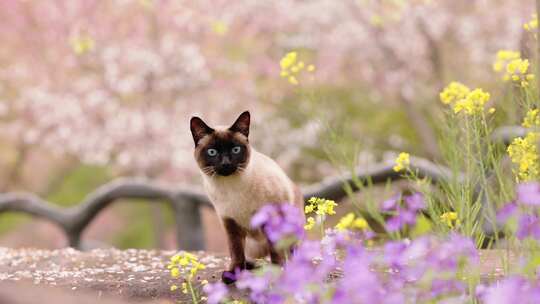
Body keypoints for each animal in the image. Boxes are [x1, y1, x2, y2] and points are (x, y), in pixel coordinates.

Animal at [190, 111, 304, 284]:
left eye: (235, 150)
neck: (230, 188)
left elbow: (275, 250)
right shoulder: (230, 222)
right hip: (252, 244)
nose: (225, 164)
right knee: (253, 257)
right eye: (212, 152)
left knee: (288, 250)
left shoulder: (269, 216)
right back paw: (248, 267)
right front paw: (233, 274)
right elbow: (236, 251)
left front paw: (277, 271)